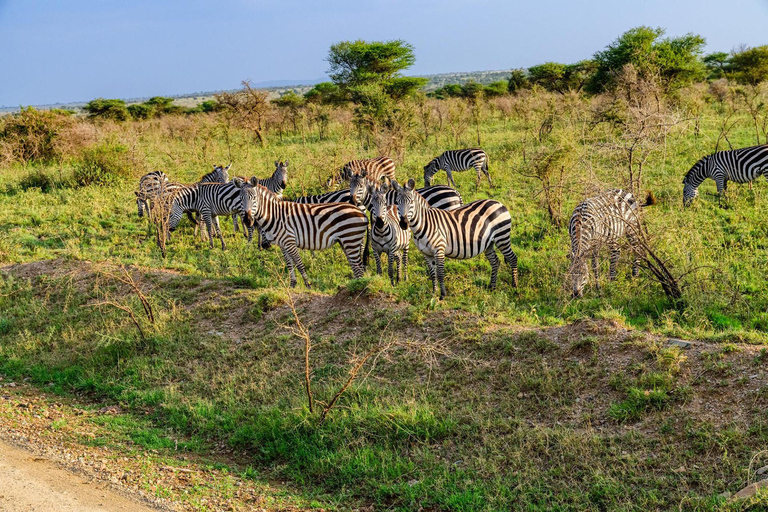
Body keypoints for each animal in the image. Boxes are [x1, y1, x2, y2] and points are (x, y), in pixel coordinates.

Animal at [242, 183, 370, 288]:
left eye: (254, 198)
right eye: (241, 199)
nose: (247, 220)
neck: (276, 216)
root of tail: (362, 213)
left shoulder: (289, 241)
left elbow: (299, 263)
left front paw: (308, 284)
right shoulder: (283, 244)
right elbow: (289, 264)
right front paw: (292, 285)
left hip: (351, 239)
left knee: (358, 267)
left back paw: (357, 287)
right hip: (346, 242)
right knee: (355, 265)